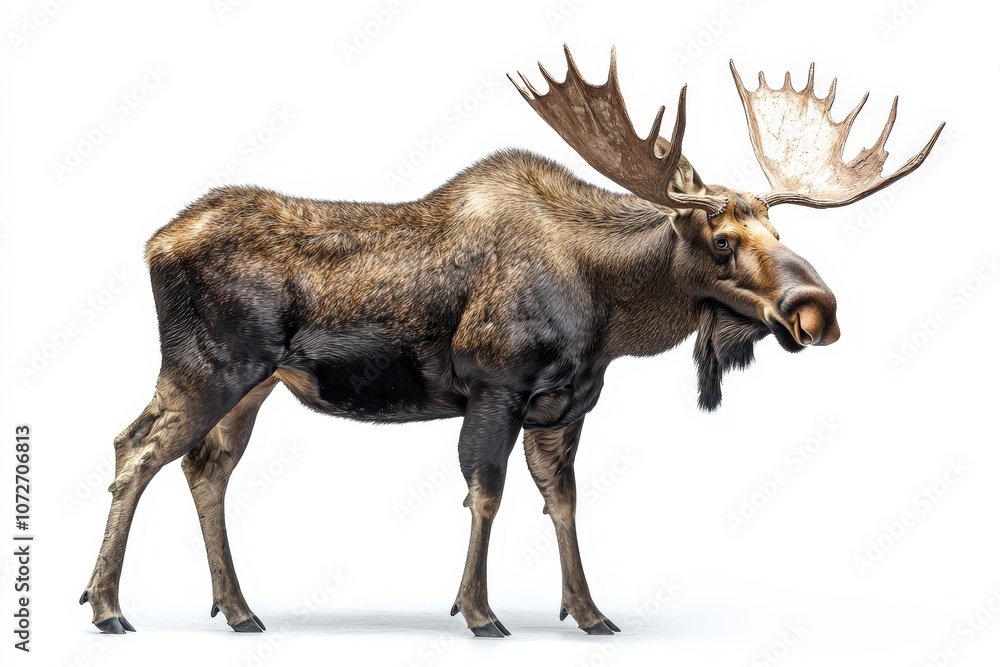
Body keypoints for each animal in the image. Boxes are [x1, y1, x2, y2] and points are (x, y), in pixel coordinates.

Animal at [80, 46, 943, 637]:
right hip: (210, 367)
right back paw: (108, 605)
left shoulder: (566, 403)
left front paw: (589, 611)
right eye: (724, 239)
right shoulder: (494, 382)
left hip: (252, 384)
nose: (817, 308)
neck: (609, 311)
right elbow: (486, 491)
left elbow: (562, 500)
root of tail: (152, 244)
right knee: (136, 449)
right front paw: (478, 610)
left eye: (778, 231)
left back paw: (235, 607)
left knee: (203, 468)